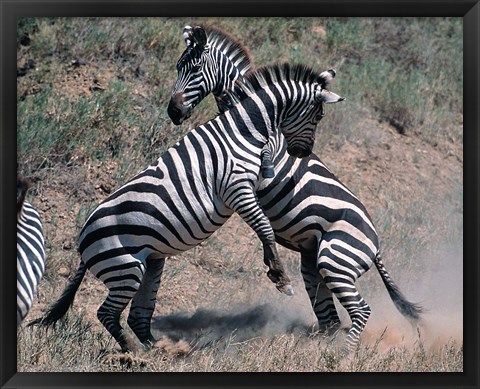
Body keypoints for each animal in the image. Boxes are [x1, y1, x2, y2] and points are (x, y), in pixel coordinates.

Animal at [31, 64, 344, 352]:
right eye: (318, 115)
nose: (302, 153)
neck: (243, 129)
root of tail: (82, 242)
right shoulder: (236, 187)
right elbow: (264, 228)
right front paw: (279, 276)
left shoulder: (250, 183)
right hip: (125, 268)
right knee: (106, 313)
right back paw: (134, 351)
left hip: (149, 263)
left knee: (137, 315)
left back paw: (157, 348)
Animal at [167, 25, 422, 350]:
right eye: (178, 67)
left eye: (196, 69)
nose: (173, 112)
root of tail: (376, 245)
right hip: (314, 265)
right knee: (329, 318)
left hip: (336, 260)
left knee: (357, 311)